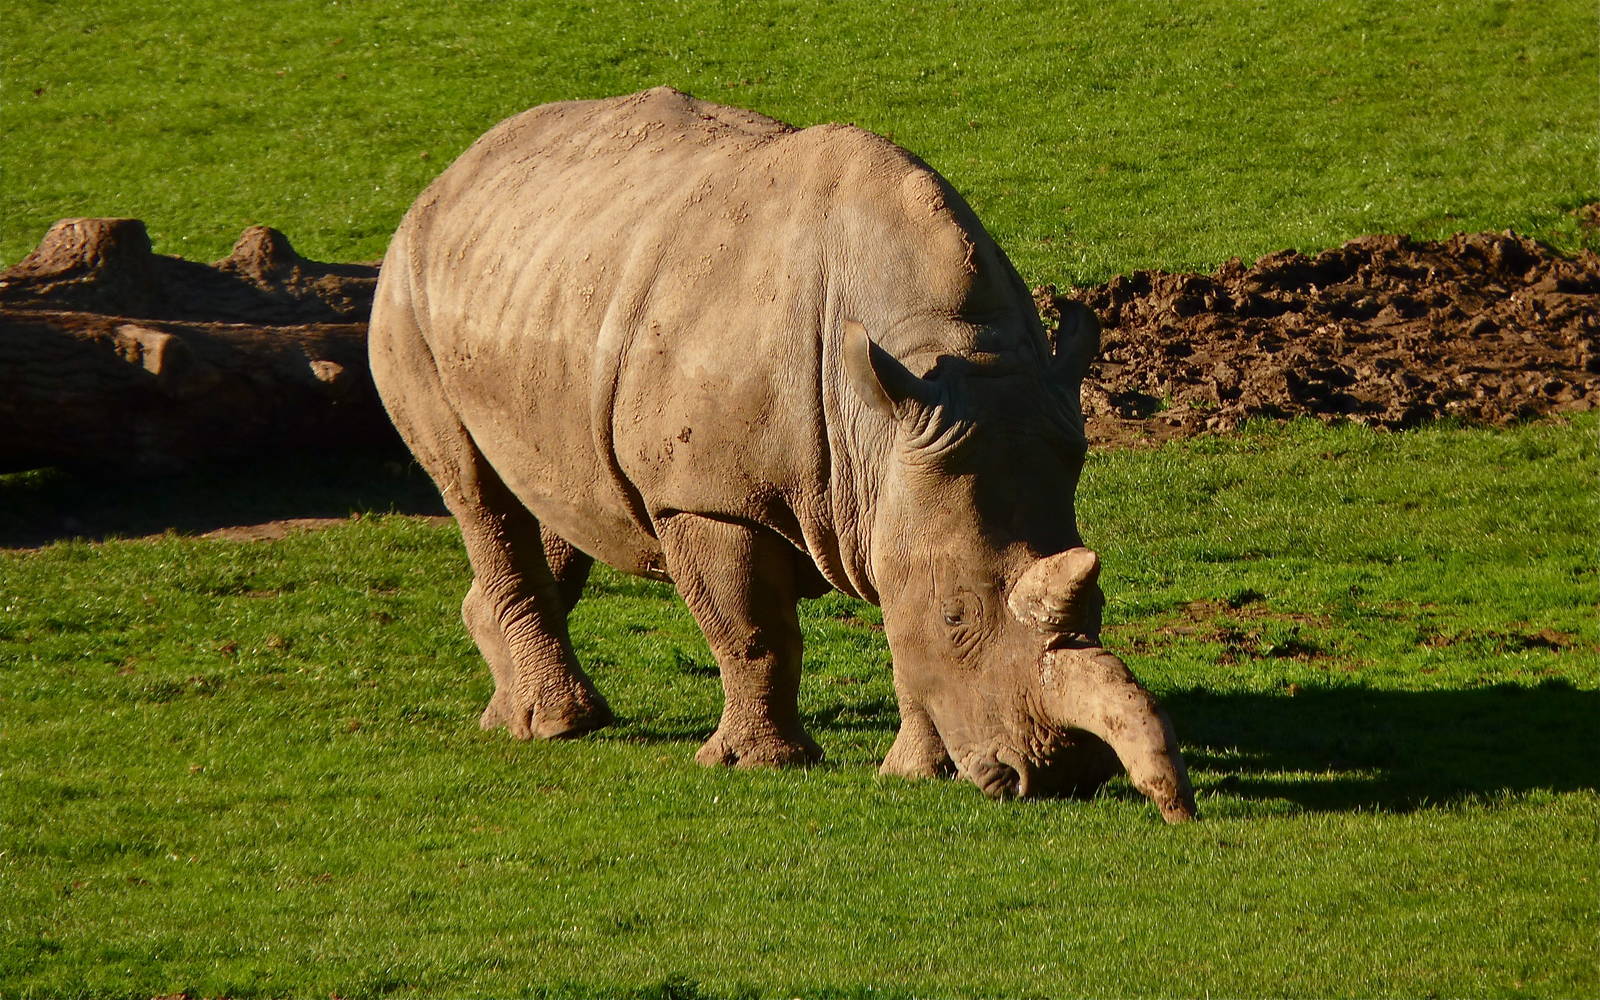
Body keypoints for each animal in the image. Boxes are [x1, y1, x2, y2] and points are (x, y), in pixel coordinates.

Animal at [369, 87, 1197, 822]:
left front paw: (913, 774)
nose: (1059, 778)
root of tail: (455, 170)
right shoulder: (707, 493)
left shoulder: (911, 464)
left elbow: (905, 638)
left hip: (541, 277)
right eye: (960, 615)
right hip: (406, 288)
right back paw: (559, 725)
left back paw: (511, 704)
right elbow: (753, 630)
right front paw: (759, 765)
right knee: (477, 490)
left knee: (561, 492)